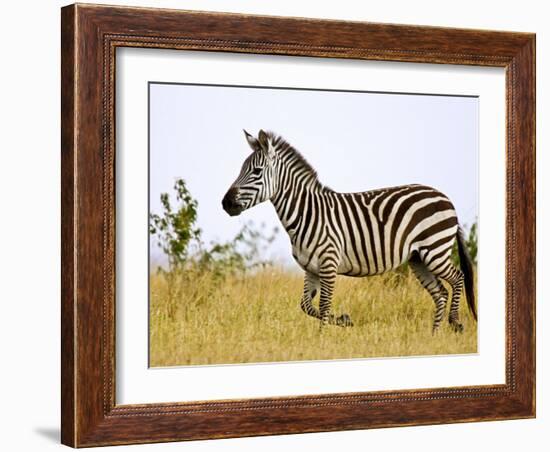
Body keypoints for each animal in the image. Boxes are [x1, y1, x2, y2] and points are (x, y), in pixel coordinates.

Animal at [221, 129, 478, 330]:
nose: (225, 203)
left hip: (434, 249)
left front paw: (322, 339)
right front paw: (344, 320)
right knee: (440, 293)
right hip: (419, 259)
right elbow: (306, 306)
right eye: (241, 169)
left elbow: (324, 306)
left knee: (458, 277)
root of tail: (444, 197)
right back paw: (434, 335)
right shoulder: (311, 268)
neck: (307, 212)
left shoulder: (328, 264)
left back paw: (455, 323)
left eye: (256, 171)